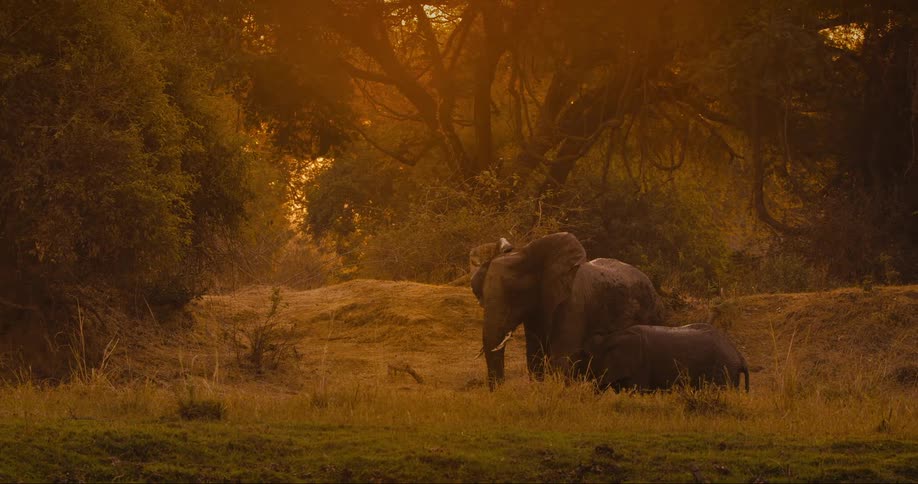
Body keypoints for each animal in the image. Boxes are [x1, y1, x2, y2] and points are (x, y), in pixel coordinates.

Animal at [471, 232, 665, 389]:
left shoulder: (572, 303)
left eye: (515, 294)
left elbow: (561, 358)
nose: (500, 392)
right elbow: (534, 356)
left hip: (652, 313)